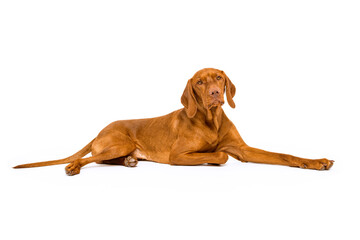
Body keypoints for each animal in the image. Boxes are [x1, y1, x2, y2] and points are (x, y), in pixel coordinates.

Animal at [14, 68, 334, 175]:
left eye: (219, 78)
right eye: (200, 82)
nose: (215, 93)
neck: (211, 119)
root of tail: (98, 131)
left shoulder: (242, 150)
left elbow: (284, 155)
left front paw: (316, 161)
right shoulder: (177, 156)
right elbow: (219, 155)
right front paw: (212, 157)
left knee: (104, 158)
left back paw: (129, 162)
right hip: (119, 142)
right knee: (91, 158)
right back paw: (74, 167)